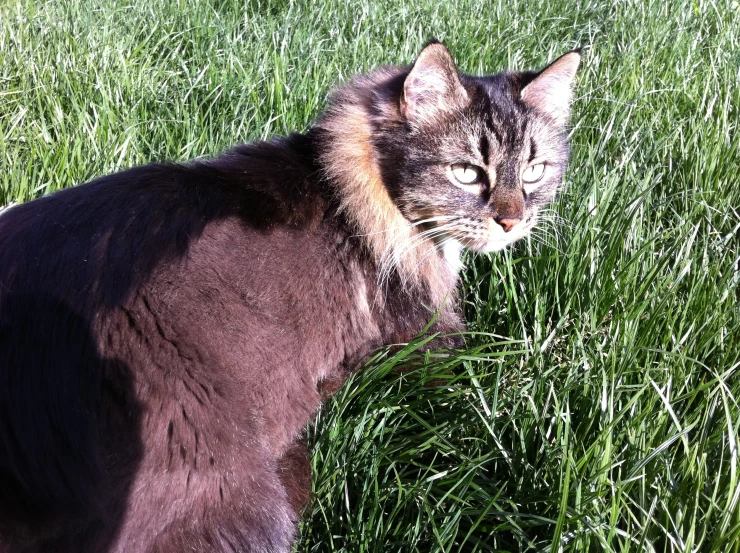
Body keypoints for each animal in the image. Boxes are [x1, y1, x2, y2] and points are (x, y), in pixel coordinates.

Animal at [0, 43, 580, 552]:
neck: (354, 186)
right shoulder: (430, 348)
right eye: (466, 172)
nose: (512, 221)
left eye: (535, 170)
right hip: (247, 494)